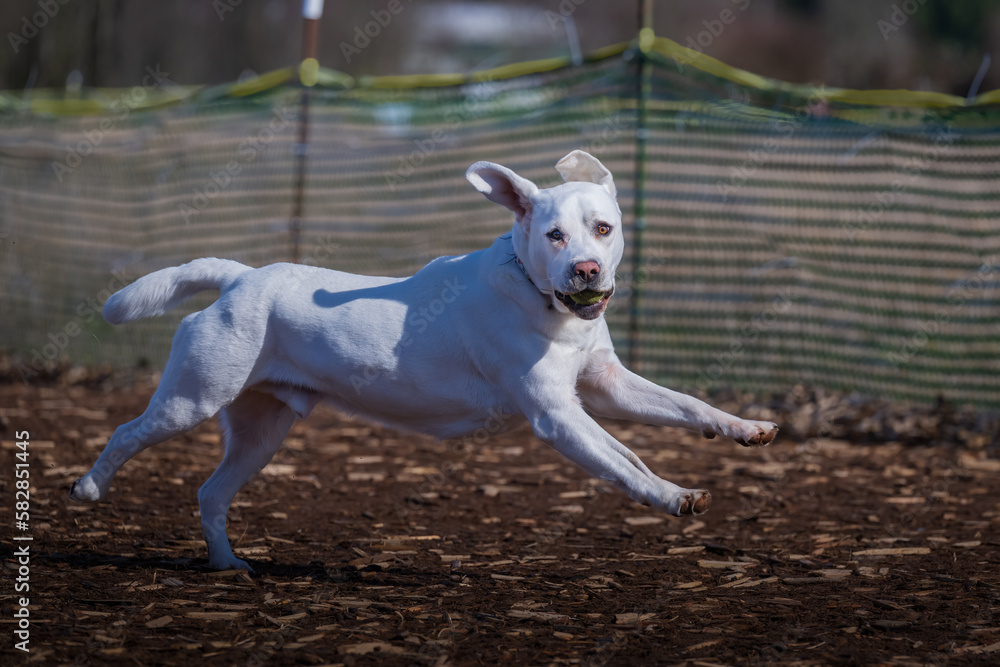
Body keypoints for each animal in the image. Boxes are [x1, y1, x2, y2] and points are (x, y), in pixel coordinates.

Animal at [70, 153, 776, 576]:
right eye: (554, 235)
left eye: (602, 228)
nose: (585, 269)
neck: (535, 295)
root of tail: (241, 278)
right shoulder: (558, 415)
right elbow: (625, 465)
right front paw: (672, 495)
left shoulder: (605, 386)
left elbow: (685, 408)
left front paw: (744, 428)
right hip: (191, 399)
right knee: (126, 433)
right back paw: (89, 488)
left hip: (262, 432)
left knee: (211, 493)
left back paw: (228, 565)